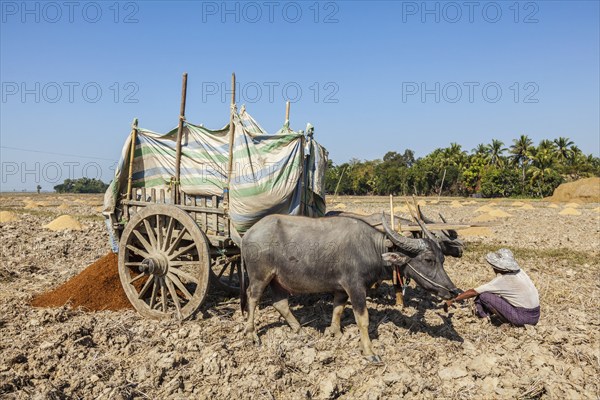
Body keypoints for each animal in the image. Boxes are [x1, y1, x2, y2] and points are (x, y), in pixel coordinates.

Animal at [240, 216, 460, 362]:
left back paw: (300, 330)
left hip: (277, 280)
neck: (372, 249)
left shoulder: (341, 289)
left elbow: (337, 309)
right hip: (260, 276)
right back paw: (251, 333)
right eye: (428, 260)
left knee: (280, 303)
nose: (453, 291)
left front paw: (335, 333)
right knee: (253, 298)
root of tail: (248, 234)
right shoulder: (356, 288)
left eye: (442, 258)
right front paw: (369, 352)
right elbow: (363, 319)